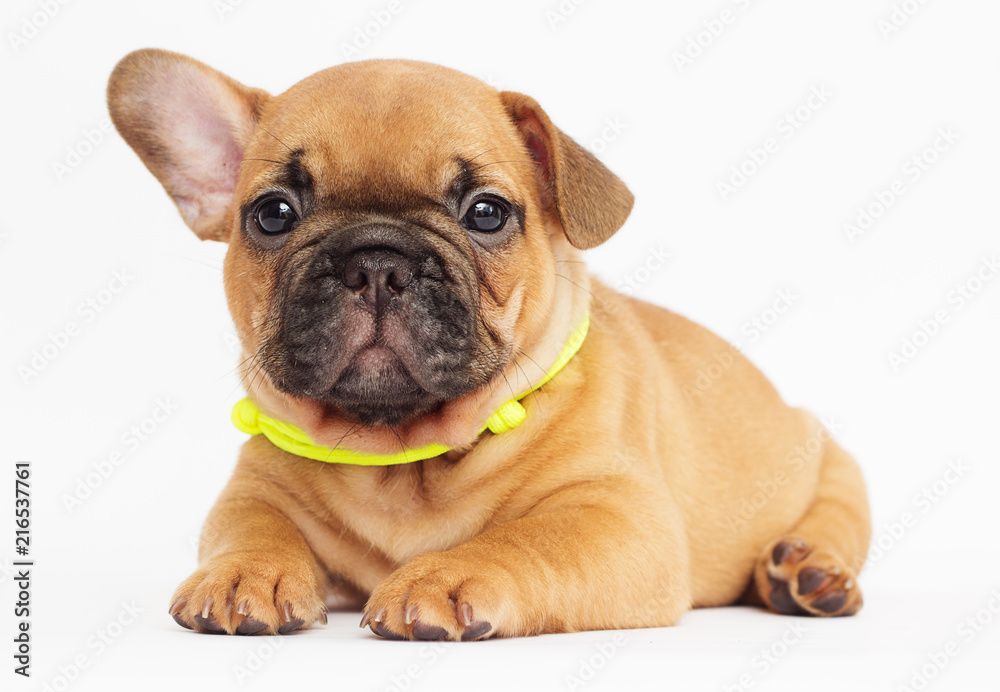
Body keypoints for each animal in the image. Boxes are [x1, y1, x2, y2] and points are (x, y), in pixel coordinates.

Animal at [107, 51, 868, 640]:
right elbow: (251, 526)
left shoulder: (619, 516)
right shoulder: (255, 488)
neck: (402, 456)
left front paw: (445, 576)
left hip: (831, 461)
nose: (376, 262)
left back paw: (807, 573)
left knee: (838, 516)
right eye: (272, 215)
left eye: (486, 214)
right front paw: (246, 573)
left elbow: (527, 538)